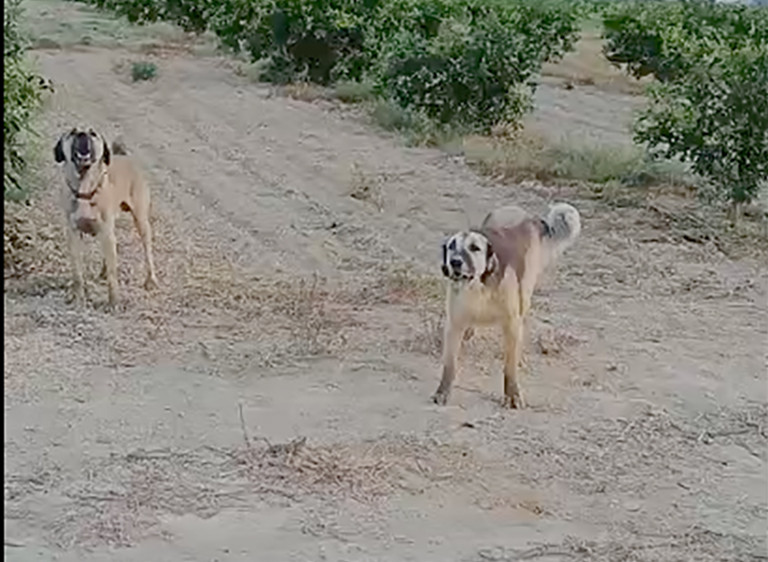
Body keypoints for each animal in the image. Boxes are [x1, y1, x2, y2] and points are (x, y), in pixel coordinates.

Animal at [54, 127, 158, 308]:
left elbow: (112, 275)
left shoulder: (106, 232)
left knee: (147, 252)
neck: (85, 188)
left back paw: (150, 280)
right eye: (72, 132)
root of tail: (125, 158)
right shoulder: (74, 234)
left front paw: (114, 301)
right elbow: (77, 273)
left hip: (141, 222)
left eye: (93, 133)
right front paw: (78, 297)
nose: (82, 133)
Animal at [432, 201, 584, 406]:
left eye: (474, 248)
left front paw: (512, 394)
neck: (478, 286)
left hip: (525, 292)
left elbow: (509, 366)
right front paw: (443, 391)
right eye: (451, 246)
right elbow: (450, 364)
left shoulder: (511, 323)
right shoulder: (454, 324)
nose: (455, 262)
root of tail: (529, 217)